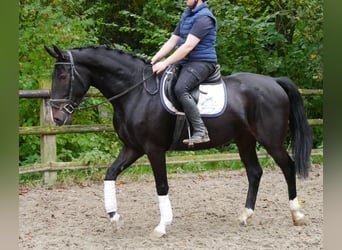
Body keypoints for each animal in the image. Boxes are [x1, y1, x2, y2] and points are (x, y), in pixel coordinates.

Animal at [45, 46, 312, 237]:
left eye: (63, 75)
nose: (57, 117)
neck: (135, 92)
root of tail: (274, 82)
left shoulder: (153, 149)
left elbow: (161, 186)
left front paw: (162, 226)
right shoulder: (132, 148)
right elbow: (110, 174)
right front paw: (114, 217)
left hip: (270, 140)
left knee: (287, 167)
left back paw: (297, 214)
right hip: (244, 139)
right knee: (255, 172)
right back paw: (246, 215)